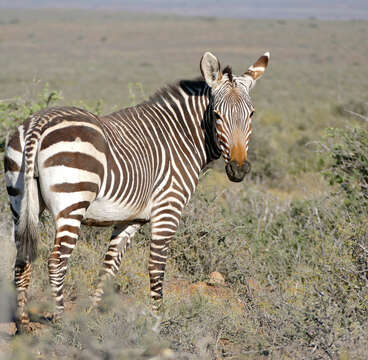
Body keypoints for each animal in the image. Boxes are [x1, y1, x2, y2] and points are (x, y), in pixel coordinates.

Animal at [3, 50, 270, 332]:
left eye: (251, 114)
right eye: (217, 115)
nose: (239, 169)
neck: (182, 138)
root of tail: (38, 123)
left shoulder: (131, 219)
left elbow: (110, 265)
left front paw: (91, 315)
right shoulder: (167, 210)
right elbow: (156, 266)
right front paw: (156, 324)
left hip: (21, 202)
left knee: (22, 258)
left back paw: (22, 324)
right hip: (72, 203)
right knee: (56, 261)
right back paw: (62, 323)